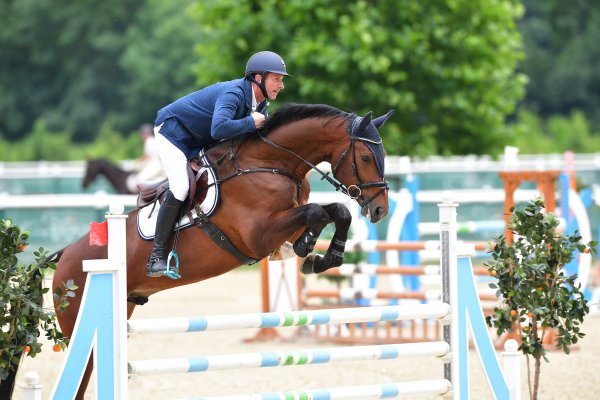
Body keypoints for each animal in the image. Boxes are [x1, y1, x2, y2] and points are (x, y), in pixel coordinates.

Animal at [3, 104, 394, 400]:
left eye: (383, 154)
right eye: (364, 156)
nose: (379, 210)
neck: (272, 163)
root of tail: (65, 254)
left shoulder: (286, 219)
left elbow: (335, 211)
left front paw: (324, 256)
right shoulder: (259, 233)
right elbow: (316, 213)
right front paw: (310, 249)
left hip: (124, 304)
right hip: (77, 318)